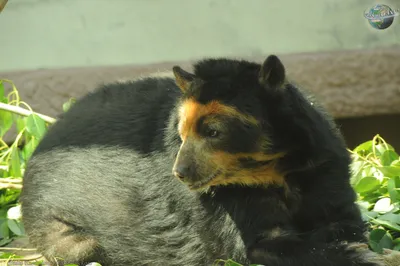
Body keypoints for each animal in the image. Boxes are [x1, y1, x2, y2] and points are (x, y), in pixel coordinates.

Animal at [20, 55, 382, 264]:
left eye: (213, 131)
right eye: (182, 133)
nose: (180, 173)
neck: (273, 168)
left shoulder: (323, 166)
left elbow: (342, 217)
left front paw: (353, 241)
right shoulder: (228, 198)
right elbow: (263, 243)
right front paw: (355, 254)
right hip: (59, 227)